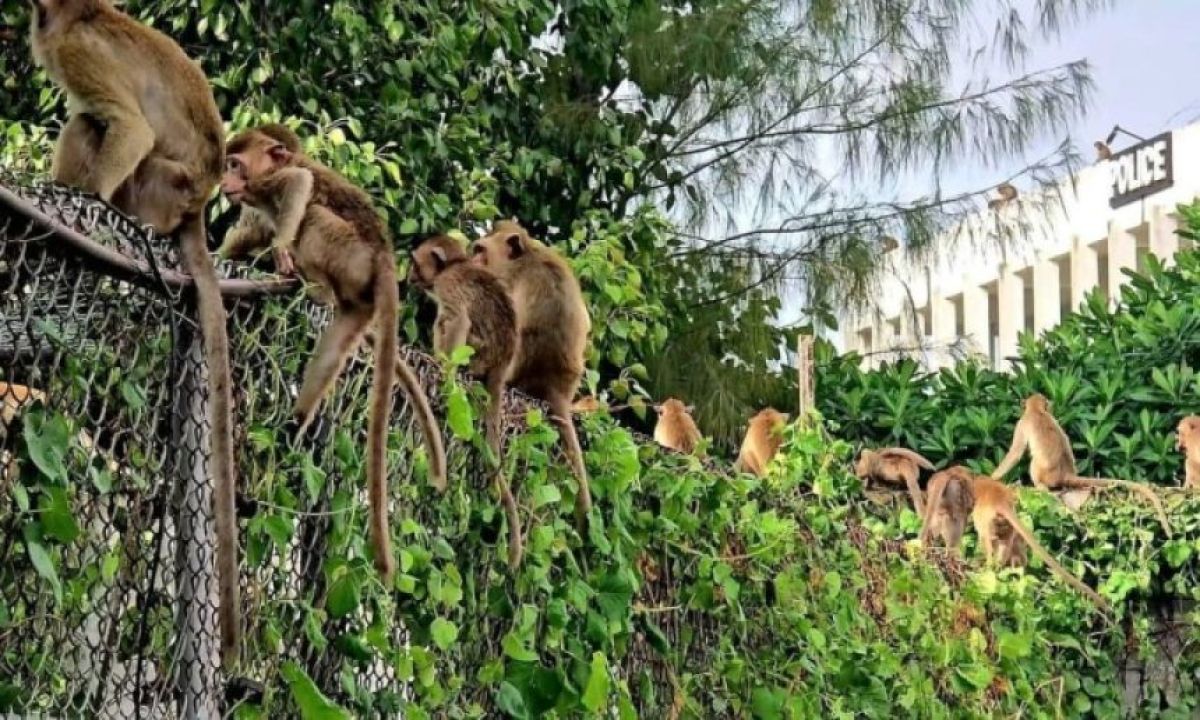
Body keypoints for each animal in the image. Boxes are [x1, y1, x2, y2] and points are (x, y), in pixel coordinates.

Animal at [29, 0, 241, 667]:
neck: (78, 15)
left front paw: (86, 199)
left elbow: (130, 127)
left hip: (153, 189)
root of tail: (195, 206)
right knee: (87, 122)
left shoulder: (77, 51)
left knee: (98, 125)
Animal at [222, 125, 451, 585]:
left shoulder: (265, 186)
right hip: (359, 299)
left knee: (313, 213)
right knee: (333, 348)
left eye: (235, 165)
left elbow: (300, 185)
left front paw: (280, 250)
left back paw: (310, 282)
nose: (224, 182)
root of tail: (384, 258)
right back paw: (293, 425)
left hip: (344, 249)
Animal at [410, 236, 523, 568]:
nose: (409, 277)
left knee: (446, 321)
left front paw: (444, 368)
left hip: (477, 352)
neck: (456, 264)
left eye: (415, 262)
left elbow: (458, 319)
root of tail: (501, 362)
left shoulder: (446, 284)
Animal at [993, 393, 1171, 535]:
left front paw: (993, 477)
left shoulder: (1022, 423)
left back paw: (1040, 486)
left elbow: (1015, 453)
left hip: (1044, 473)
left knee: (1034, 463)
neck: (1038, 411)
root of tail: (1066, 473)